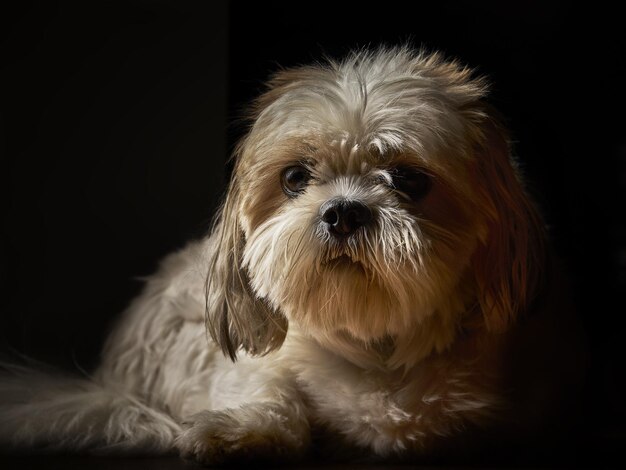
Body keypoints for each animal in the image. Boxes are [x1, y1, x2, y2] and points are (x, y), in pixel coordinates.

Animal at [1, 46, 584, 464]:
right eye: (295, 178)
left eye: (409, 180)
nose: (343, 211)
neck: (376, 345)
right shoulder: (242, 360)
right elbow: (271, 390)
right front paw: (240, 432)